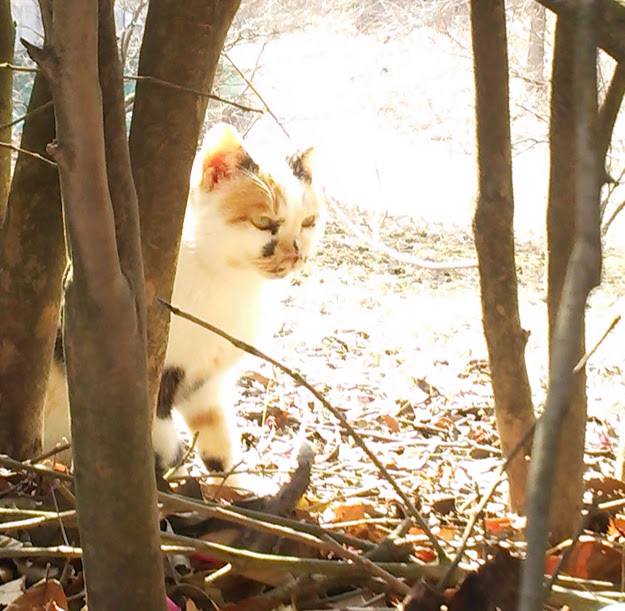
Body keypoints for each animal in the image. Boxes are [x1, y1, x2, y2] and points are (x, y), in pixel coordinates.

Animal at [44, 123, 322, 478]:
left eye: (308, 222)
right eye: (263, 222)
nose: (295, 254)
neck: (231, 285)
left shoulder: (207, 385)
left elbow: (218, 442)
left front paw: (234, 487)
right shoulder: (154, 379)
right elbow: (163, 442)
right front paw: (169, 473)